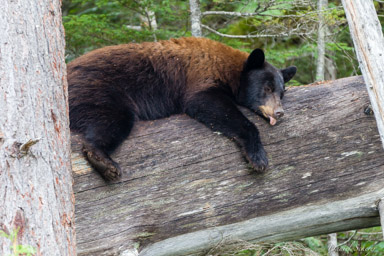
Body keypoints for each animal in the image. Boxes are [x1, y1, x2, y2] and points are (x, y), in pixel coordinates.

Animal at [68, 37, 296, 180]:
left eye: (282, 92)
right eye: (267, 88)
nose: (279, 112)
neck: (229, 68)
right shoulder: (200, 76)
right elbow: (206, 103)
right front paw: (258, 157)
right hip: (99, 88)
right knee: (114, 119)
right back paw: (104, 161)